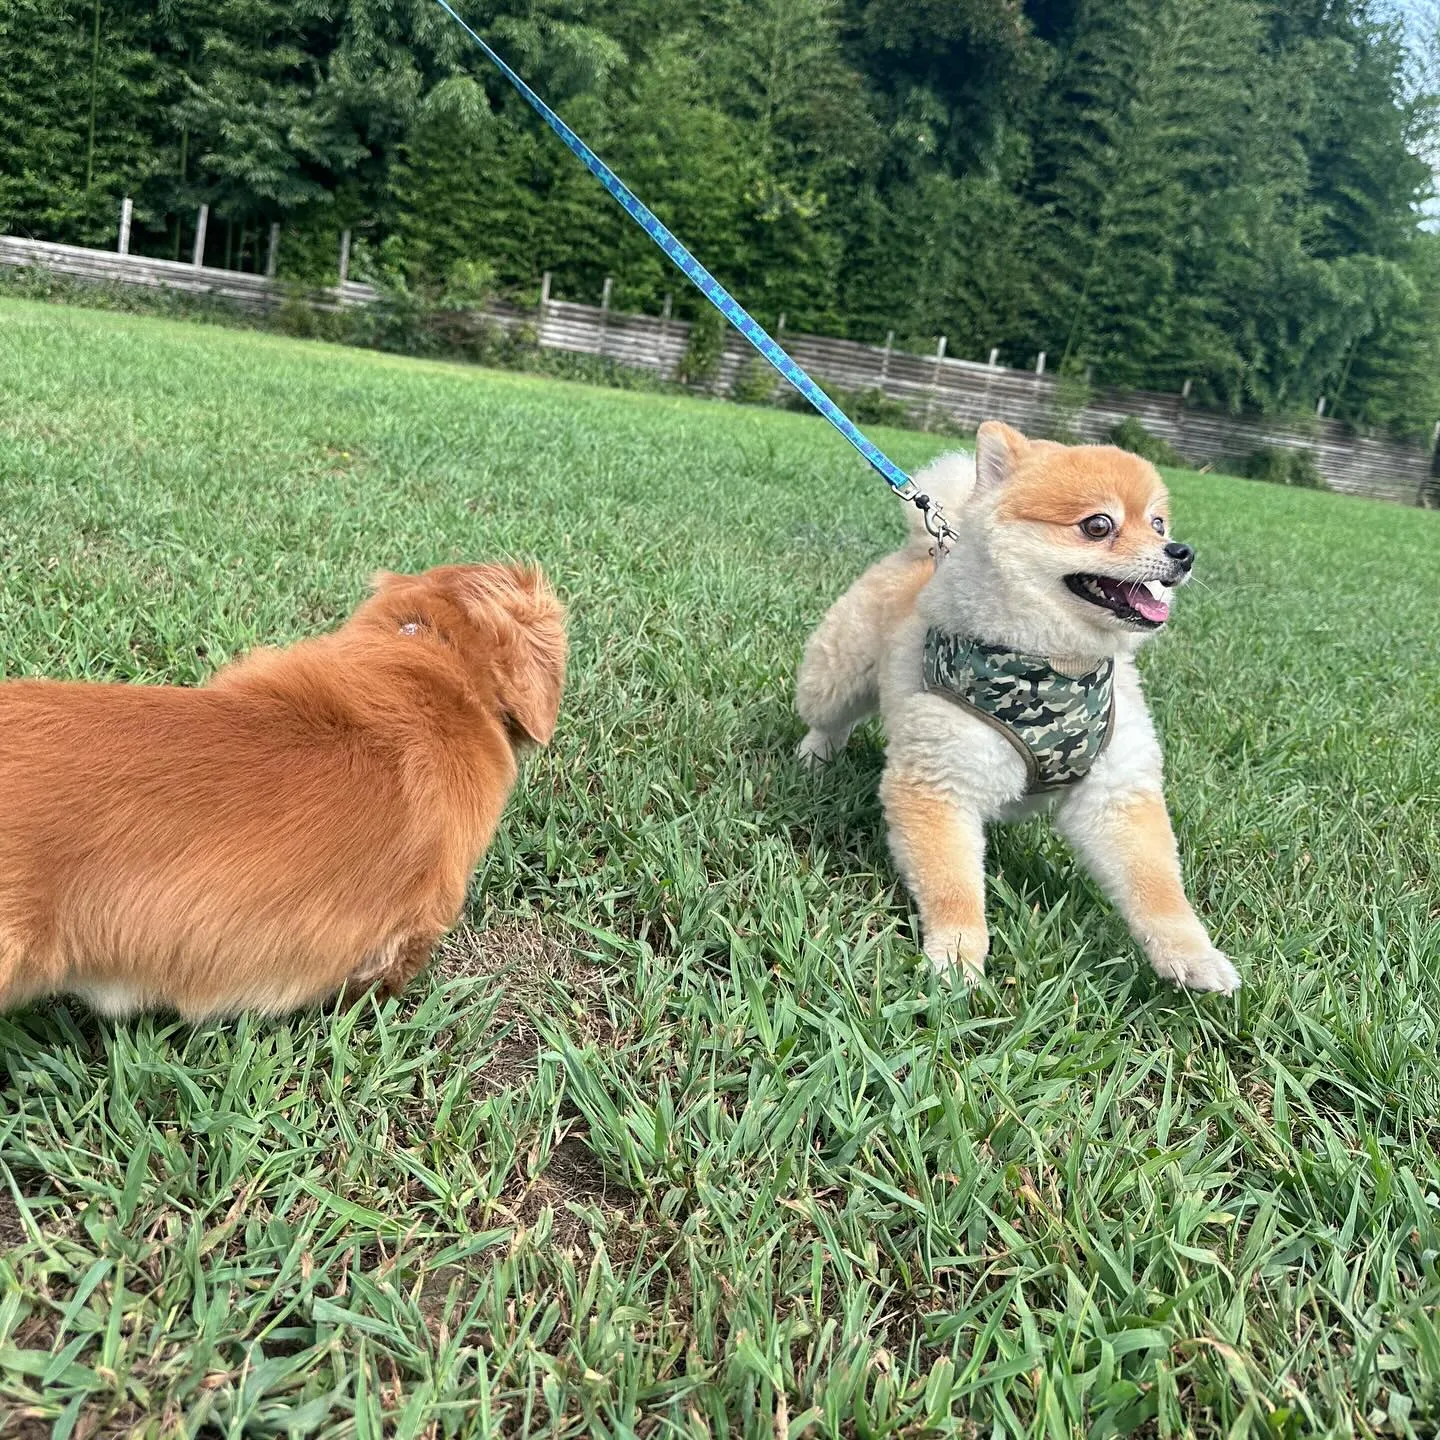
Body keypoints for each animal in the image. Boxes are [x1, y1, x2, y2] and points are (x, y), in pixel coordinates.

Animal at [800, 420, 1238, 996]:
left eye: (1159, 523)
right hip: (838, 673)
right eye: (1098, 525)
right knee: (828, 715)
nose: (1182, 552)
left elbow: (1156, 887)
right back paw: (815, 757)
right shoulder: (939, 783)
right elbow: (954, 887)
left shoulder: (1115, 793)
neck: (1056, 665)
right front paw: (956, 957)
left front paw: (1194, 958)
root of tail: (923, 546)